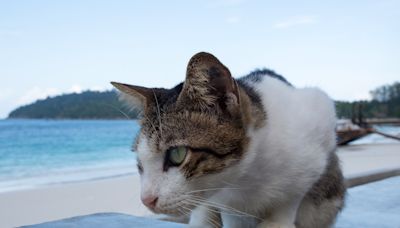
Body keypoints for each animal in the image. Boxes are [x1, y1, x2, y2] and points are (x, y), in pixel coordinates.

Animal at [111, 52, 346, 228]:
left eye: (177, 154)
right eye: (139, 164)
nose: (146, 200)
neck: (247, 178)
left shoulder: (320, 121)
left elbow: (291, 196)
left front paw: (277, 222)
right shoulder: (225, 202)